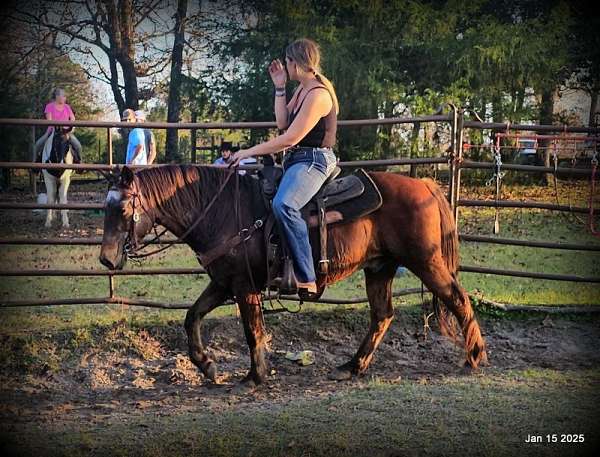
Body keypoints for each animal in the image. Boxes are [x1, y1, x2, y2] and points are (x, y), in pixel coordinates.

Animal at [99, 166, 488, 386]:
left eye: (123, 209)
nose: (106, 259)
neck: (222, 210)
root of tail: (425, 185)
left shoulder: (243, 286)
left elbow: (253, 330)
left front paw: (255, 376)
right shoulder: (223, 282)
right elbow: (191, 316)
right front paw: (207, 366)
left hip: (426, 261)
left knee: (458, 299)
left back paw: (475, 357)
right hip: (380, 268)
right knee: (382, 316)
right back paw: (352, 366)